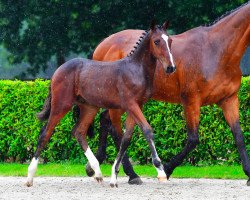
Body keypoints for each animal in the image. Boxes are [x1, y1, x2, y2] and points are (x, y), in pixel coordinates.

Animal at [25, 21, 176, 188]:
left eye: (169, 41)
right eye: (156, 41)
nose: (170, 67)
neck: (135, 69)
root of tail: (57, 71)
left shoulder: (137, 106)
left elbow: (126, 138)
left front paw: (115, 177)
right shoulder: (131, 105)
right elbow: (146, 130)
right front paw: (160, 171)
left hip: (90, 107)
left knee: (78, 132)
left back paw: (97, 172)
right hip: (61, 105)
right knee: (45, 133)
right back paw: (30, 177)